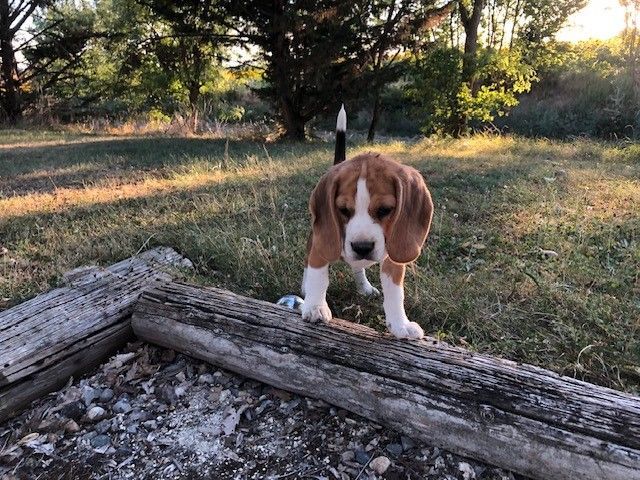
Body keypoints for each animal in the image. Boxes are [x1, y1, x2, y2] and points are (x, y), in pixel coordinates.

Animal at [302, 106, 436, 338]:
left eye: (385, 210)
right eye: (343, 210)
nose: (362, 247)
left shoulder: (395, 256)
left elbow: (395, 292)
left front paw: (400, 324)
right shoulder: (321, 244)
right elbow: (318, 275)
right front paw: (315, 307)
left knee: (357, 267)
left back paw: (363, 286)